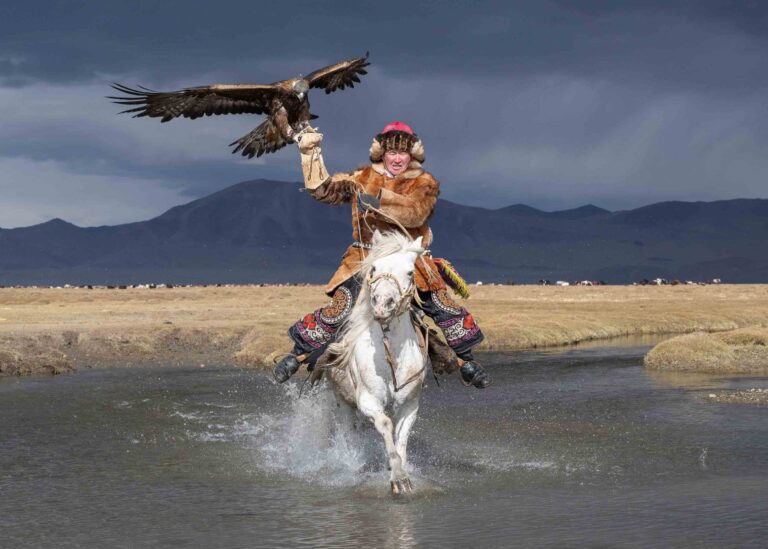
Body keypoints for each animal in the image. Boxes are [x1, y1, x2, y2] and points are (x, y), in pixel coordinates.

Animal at [325, 231, 428, 494]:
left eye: (410, 272)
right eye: (373, 268)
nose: (382, 303)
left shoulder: (410, 405)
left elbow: (401, 440)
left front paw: (402, 473)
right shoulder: (368, 400)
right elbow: (384, 424)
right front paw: (398, 478)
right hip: (342, 403)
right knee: (350, 434)